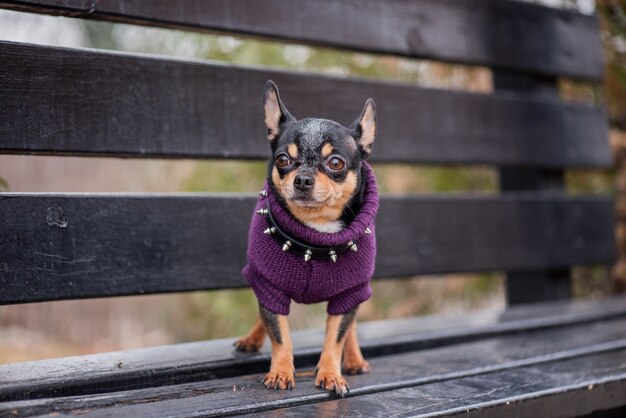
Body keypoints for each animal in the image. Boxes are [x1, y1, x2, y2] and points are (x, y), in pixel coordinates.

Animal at [234, 80, 378, 396]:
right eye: (283, 159)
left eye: (335, 163)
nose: (302, 178)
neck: (315, 234)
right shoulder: (270, 286)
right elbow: (279, 334)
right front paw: (280, 371)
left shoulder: (348, 293)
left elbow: (335, 337)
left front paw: (331, 373)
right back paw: (251, 339)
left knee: (351, 326)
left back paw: (354, 359)